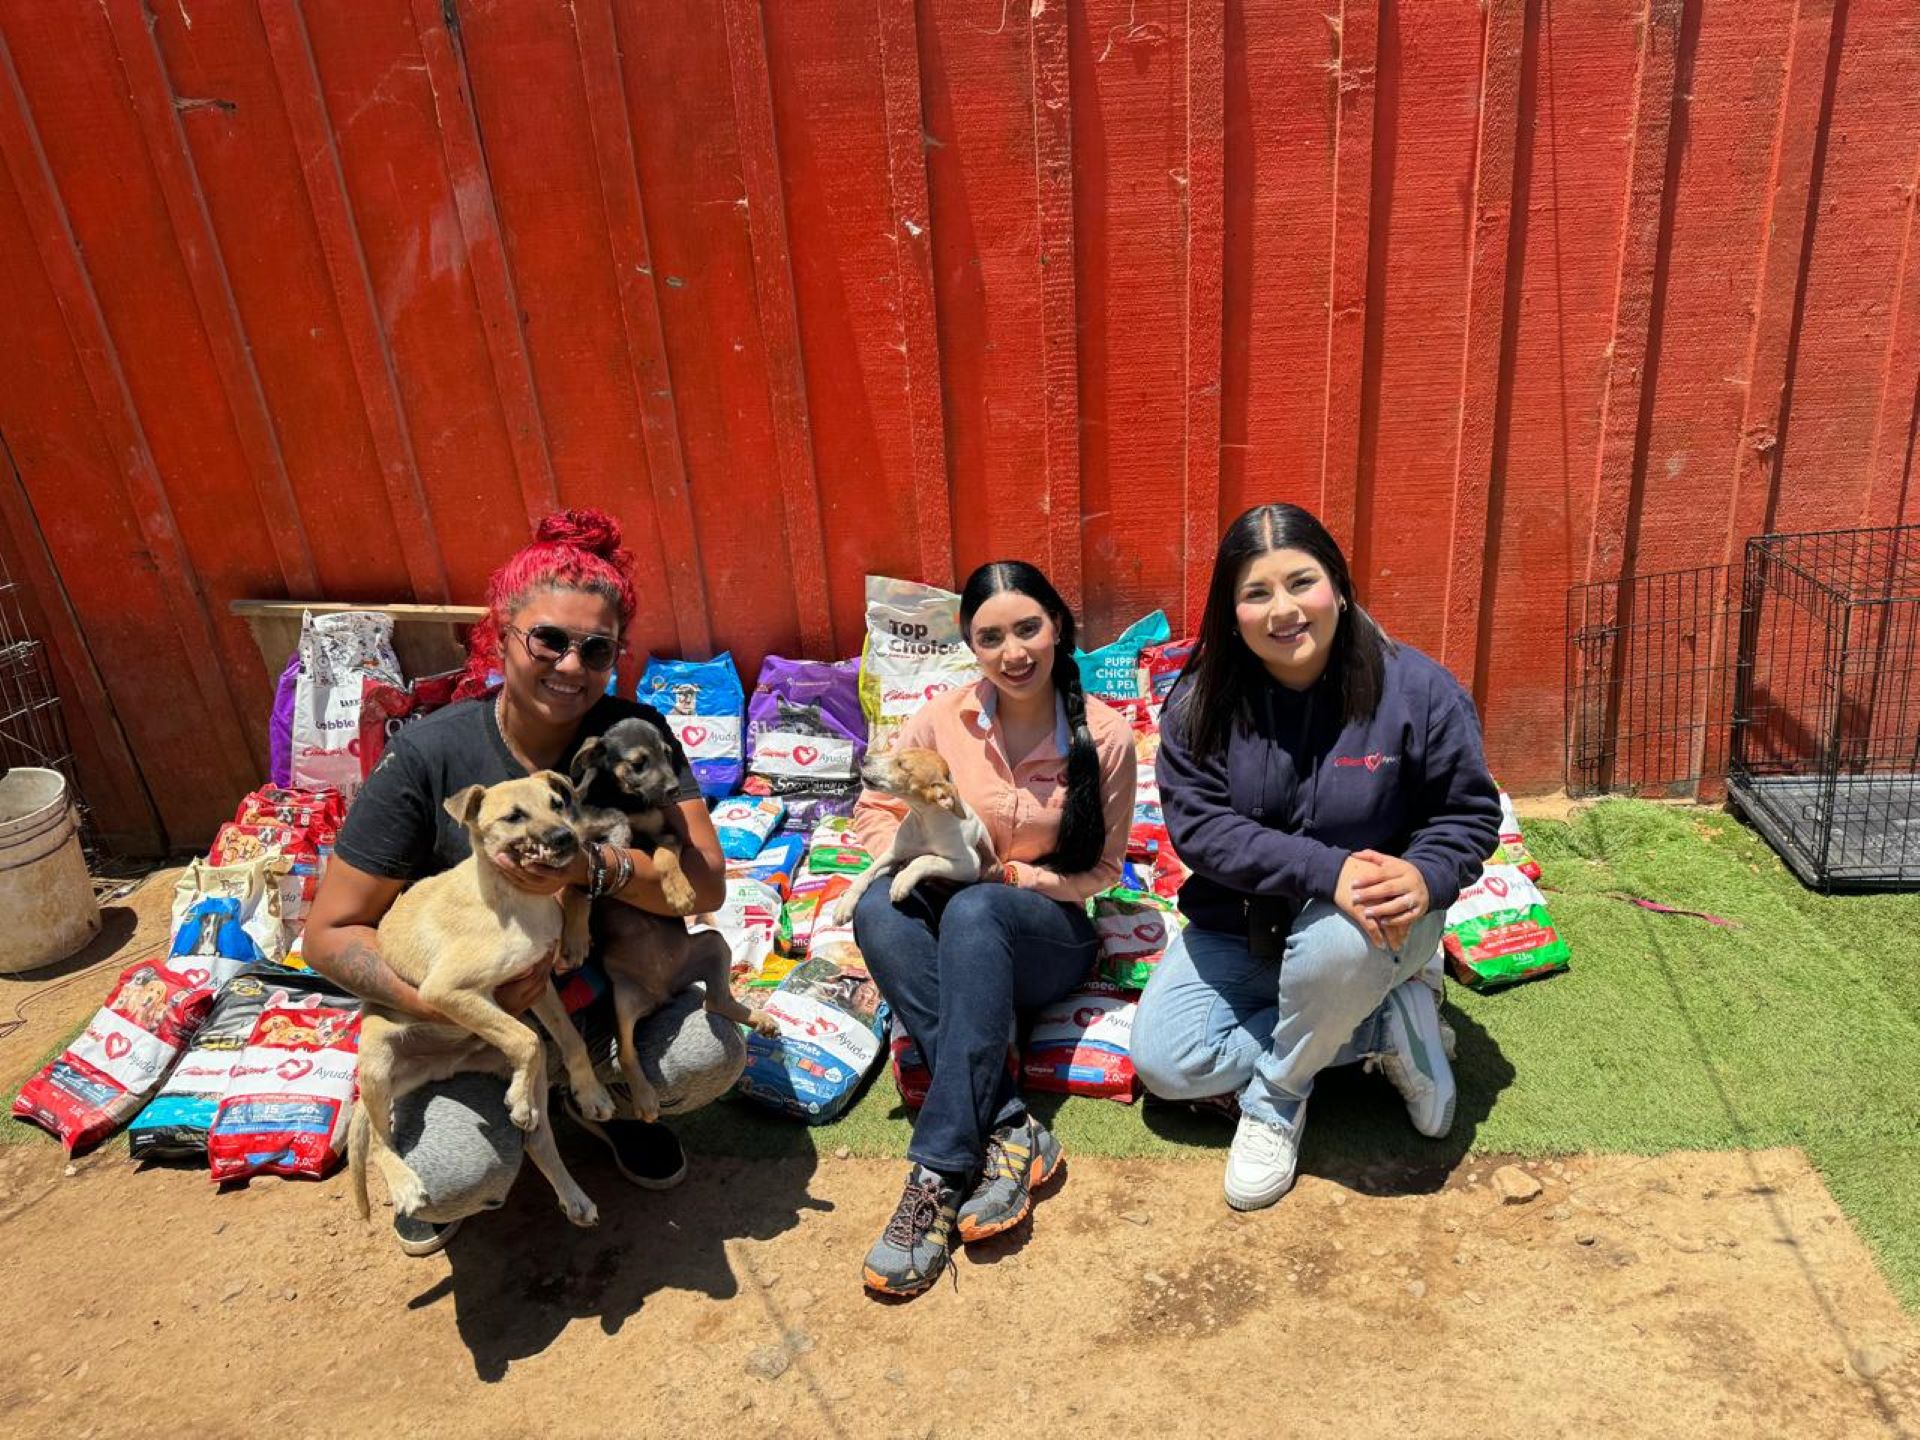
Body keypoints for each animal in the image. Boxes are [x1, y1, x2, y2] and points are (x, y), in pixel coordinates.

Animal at [347, 771, 614, 1236]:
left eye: (557, 803)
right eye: (514, 816)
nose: (565, 838)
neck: (515, 900)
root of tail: (439, 1066)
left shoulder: (538, 982)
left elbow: (566, 1038)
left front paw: (590, 1091)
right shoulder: (446, 991)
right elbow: (526, 1038)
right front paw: (521, 1101)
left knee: (540, 1139)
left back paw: (572, 1193)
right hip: (377, 1059)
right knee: (380, 1141)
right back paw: (404, 1183)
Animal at [568, 718, 779, 1121]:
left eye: (668, 754)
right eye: (638, 762)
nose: (673, 790)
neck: (626, 799)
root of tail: (660, 994)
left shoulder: (665, 832)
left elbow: (665, 853)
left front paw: (679, 892)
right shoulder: (576, 839)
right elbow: (577, 885)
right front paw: (574, 938)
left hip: (712, 944)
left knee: (716, 1002)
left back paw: (758, 1019)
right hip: (621, 1000)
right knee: (628, 1053)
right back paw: (645, 1098)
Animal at [833, 744, 998, 925]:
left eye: (902, 765)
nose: (863, 758)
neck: (924, 823)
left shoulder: (971, 863)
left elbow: (926, 858)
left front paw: (903, 879)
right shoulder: (894, 853)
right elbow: (866, 873)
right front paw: (846, 902)